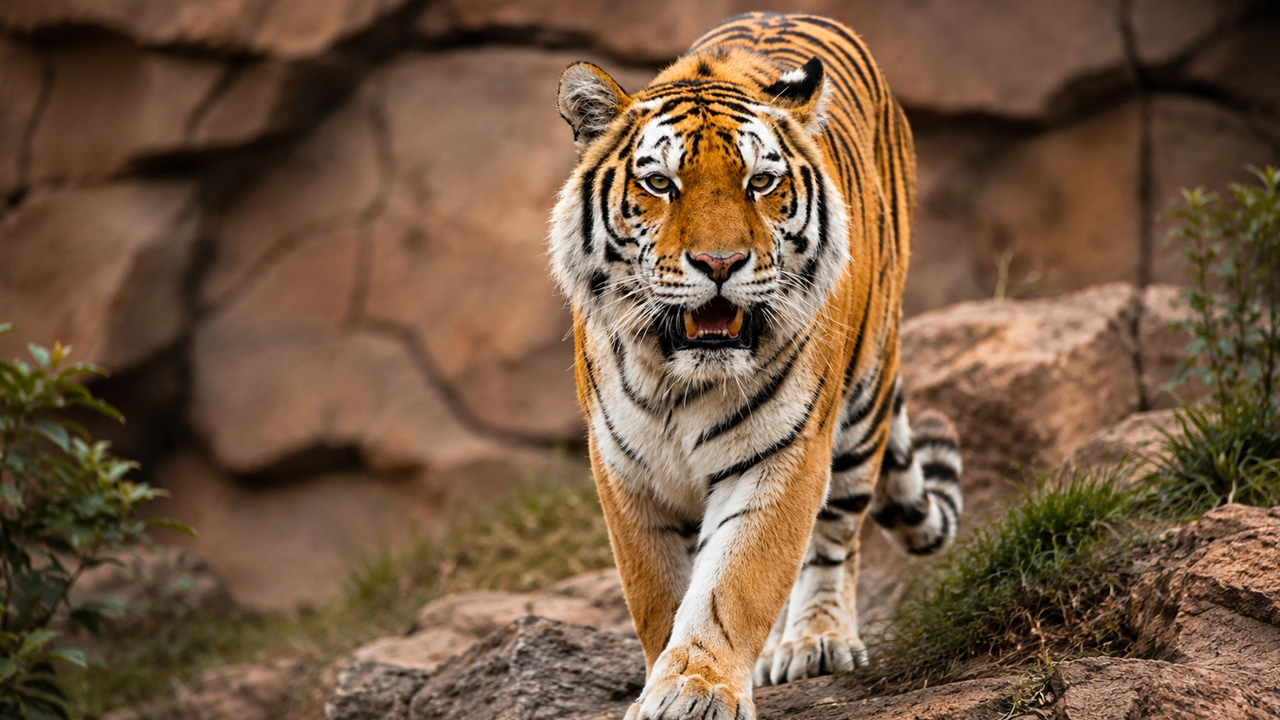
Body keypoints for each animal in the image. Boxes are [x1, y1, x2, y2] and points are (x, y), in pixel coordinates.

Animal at [548, 12, 963, 720]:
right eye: (660, 184)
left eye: (760, 183)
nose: (720, 264)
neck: (681, 378)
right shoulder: (626, 471)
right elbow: (659, 594)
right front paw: (665, 680)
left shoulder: (781, 455)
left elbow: (733, 583)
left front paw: (697, 688)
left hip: (862, 402)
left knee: (836, 537)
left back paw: (815, 642)